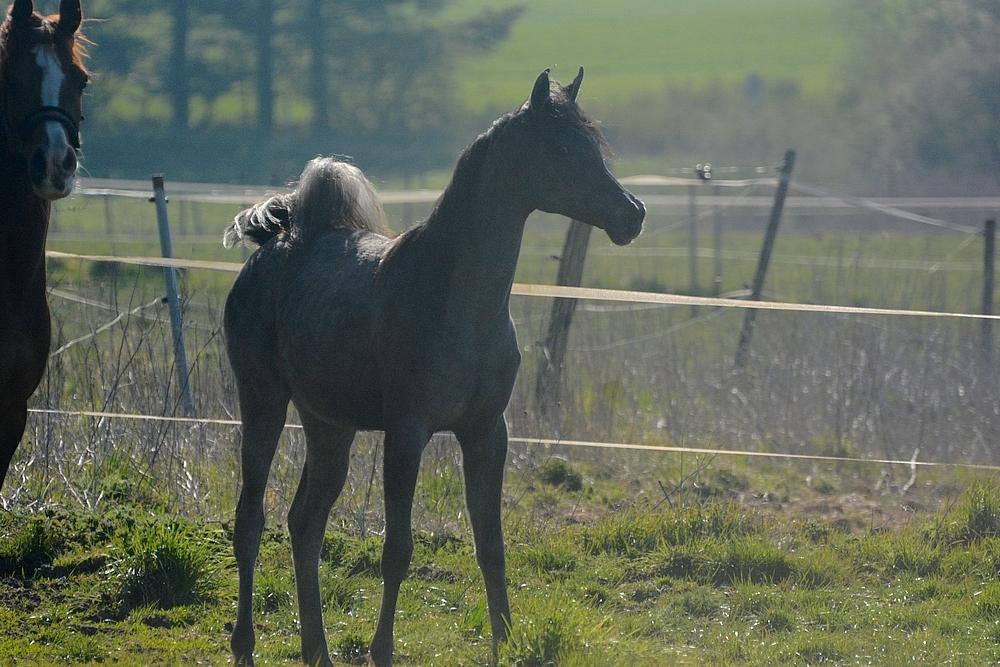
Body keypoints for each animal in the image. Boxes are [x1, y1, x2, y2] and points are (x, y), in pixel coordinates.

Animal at [223, 69, 644, 667]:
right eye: (562, 147)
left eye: (594, 143)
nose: (633, 214)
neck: (457, 299)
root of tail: (273, 244)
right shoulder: (407, 434)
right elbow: (397, 549)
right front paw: (382, 650)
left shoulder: (487, 433)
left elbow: (491, 544)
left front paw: (504, 643)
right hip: (263, 405)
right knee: (251, 520)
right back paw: (245, 645)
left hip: (329, 426)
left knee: (305, 524)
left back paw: (317, 650)